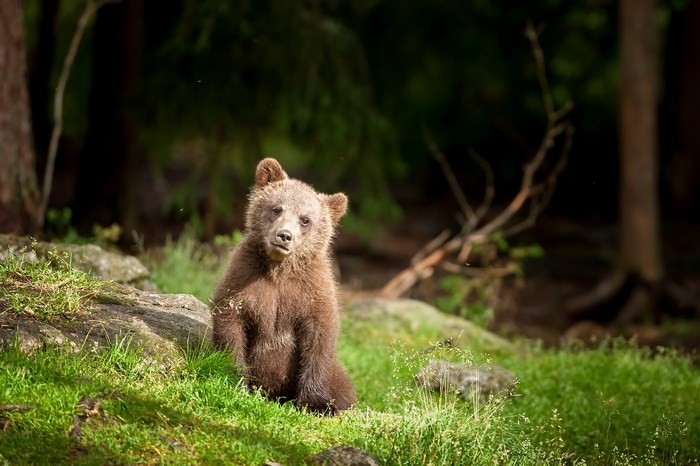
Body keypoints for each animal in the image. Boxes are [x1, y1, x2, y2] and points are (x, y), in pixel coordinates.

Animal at [211, 157, 356, 415]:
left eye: (305, 219)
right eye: (277, 208)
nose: (284, 235)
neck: (279, 270)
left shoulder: (311, 291)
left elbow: (319, 335)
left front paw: (315, 403)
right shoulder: (243, 278)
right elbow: (231, 324)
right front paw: (236, 381)